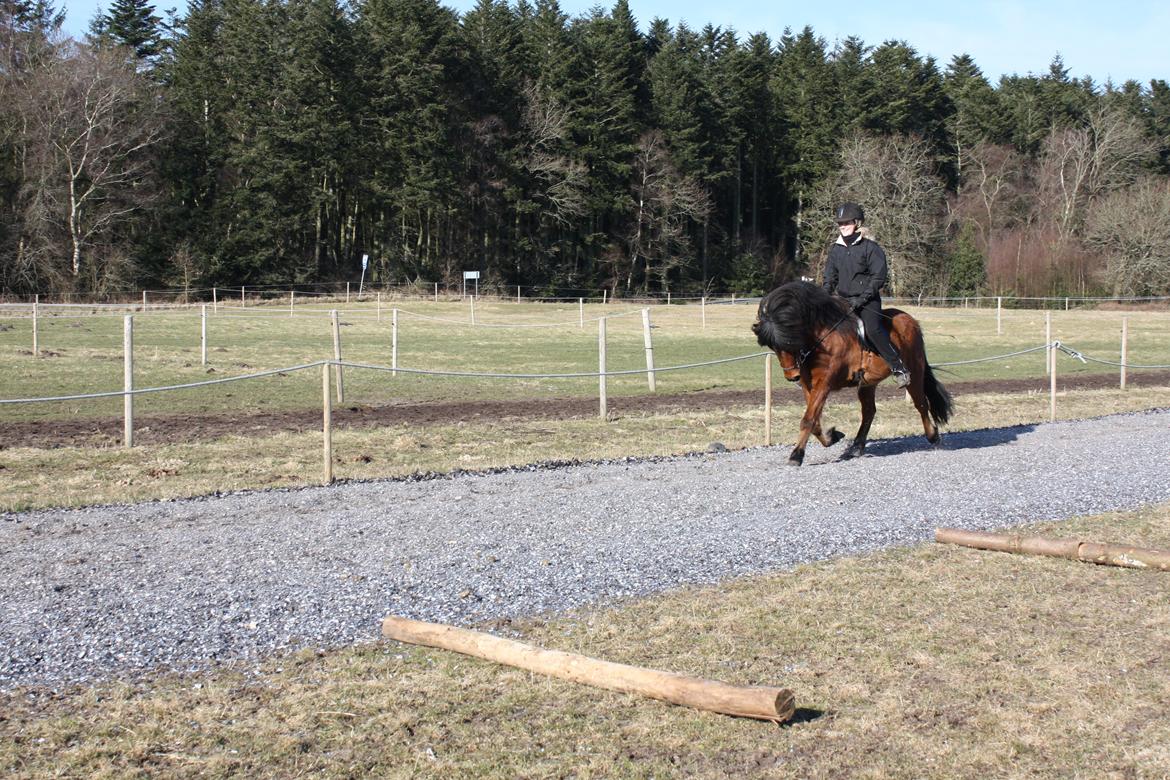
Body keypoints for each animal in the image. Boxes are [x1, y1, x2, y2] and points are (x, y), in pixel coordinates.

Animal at [753, 279, 954, 463]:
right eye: (773, 346)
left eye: (790, 340)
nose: (791, 376)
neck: (821, 340)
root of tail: (911, 320)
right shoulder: (808, 386)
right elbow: (814, 420)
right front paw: (832, 437)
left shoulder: (824, 384)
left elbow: (808, 419)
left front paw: (796, 455)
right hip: (868, 383)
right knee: (869, 411)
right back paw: (856, 448)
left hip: (915, 370)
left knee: (921, 403)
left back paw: (933, 436)